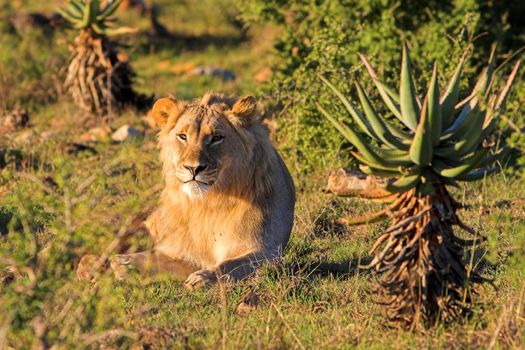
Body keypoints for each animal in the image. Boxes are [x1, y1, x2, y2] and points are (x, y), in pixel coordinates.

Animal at [80, 91, 296, 288]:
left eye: (217, 138)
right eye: (183, 136)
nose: (193, 168)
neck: (207, 203)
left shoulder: (267, 250)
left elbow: (231, 265)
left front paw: (203, 278)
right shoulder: (179, 251)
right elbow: (146, 259)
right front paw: (120, 265)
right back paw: (90, 266)